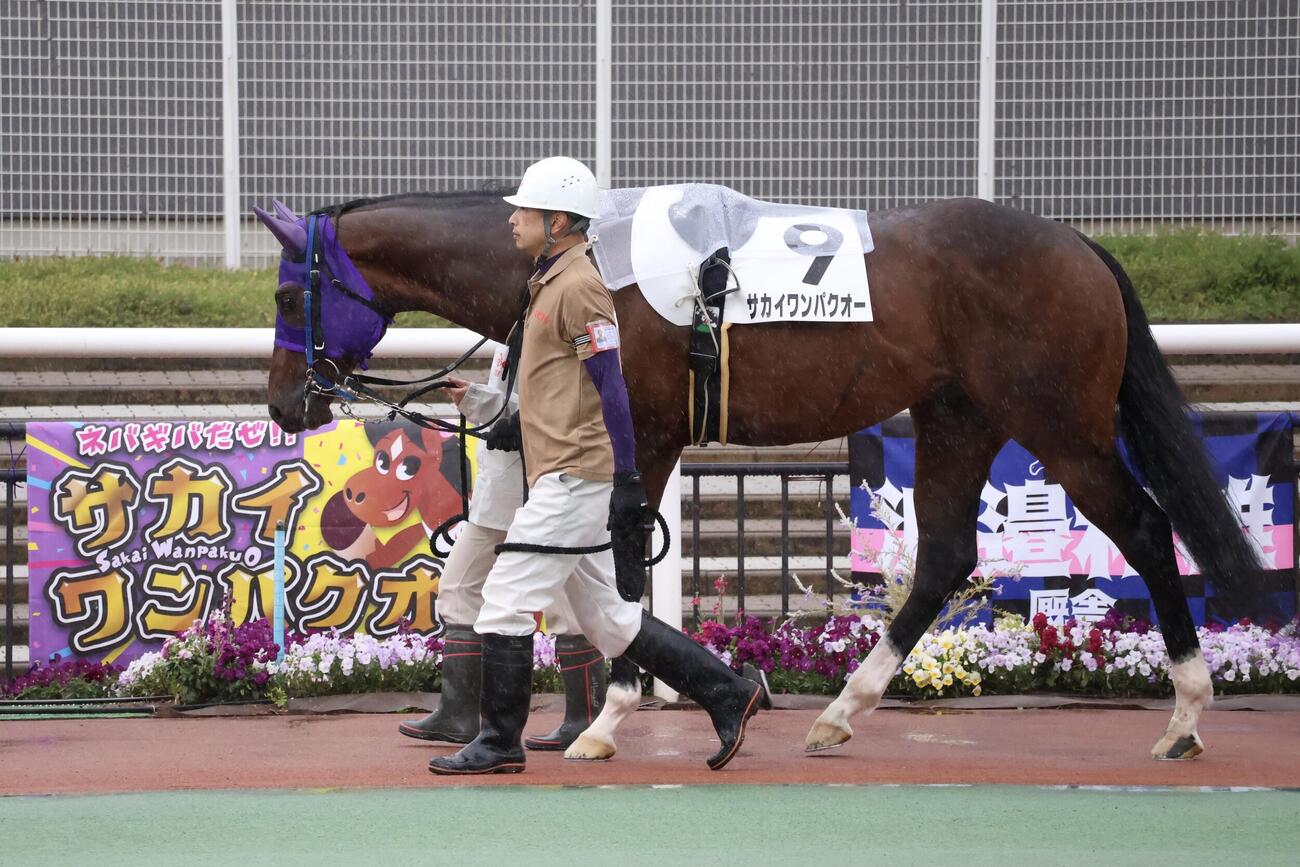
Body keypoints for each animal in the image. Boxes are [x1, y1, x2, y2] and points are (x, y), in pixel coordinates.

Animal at [257, 190, 1266, 763]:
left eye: (284, 293)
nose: (283, 402)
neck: (581, 257)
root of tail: (1082, 245)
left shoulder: (646, 435)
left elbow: (627, 562)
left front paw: (609, 718)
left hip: (1059, 425)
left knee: (1145, 528)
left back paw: (1186, 713)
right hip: (955, 416)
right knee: (944, 553)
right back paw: (844, 709)